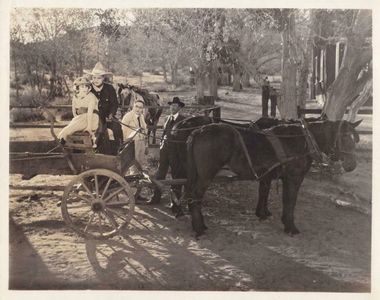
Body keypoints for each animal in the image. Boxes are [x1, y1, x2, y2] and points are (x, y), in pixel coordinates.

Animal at [183, 119, 360, 237]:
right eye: (345, 137)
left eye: (355, 139)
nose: (352, 165)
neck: (303, 140)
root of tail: (198, 131)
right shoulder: (293, 178)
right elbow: (289, 201)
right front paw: (290, 226)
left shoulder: (268, 176)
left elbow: (264, 192)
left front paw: (263, 213)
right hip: (206, 176)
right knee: (195, 196)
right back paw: (199, 227)